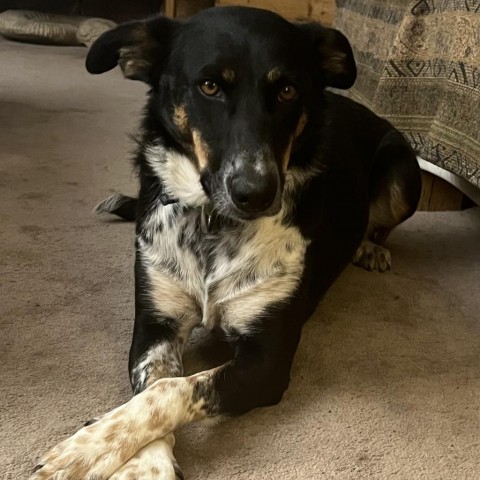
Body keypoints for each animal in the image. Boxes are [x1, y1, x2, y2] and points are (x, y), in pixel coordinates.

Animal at [31, 4, 420, 480]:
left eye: (287, 89)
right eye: (210, 85)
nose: (257, 192)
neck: (213, 223)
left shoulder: (268, 359)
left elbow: (172, 390)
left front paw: (86, 447)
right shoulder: (154, 326)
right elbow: (155, 387)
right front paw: (139, 460)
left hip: (403, 168)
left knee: (383, 218)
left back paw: (370, 246)